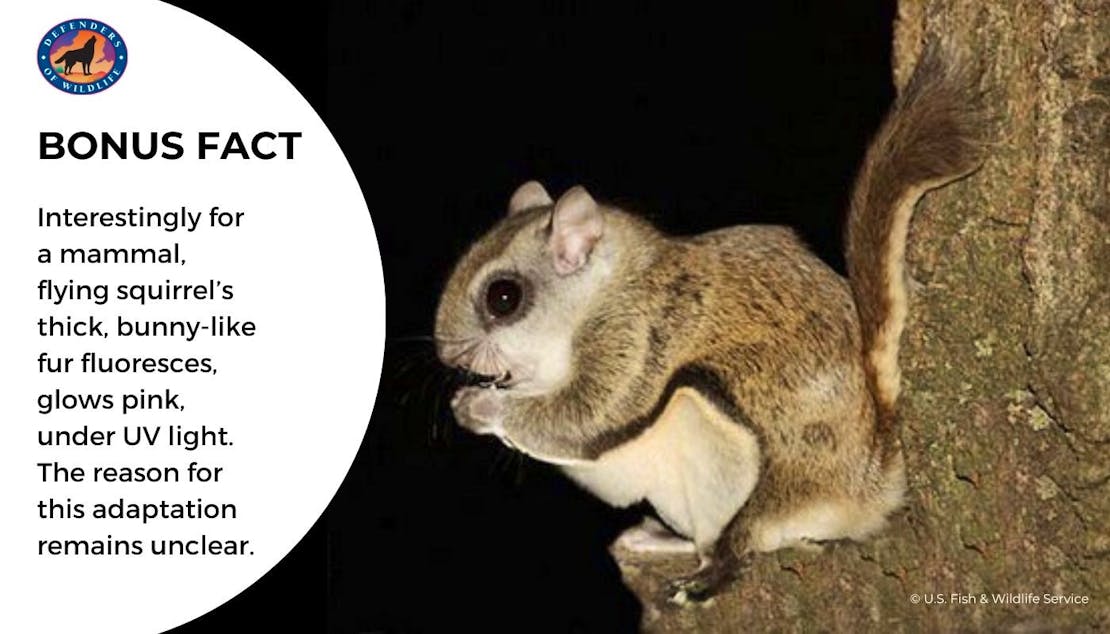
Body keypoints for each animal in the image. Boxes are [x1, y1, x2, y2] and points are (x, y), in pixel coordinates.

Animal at [435, 42, 984, 603]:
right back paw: (661, 543)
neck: (601, 292)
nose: (448, 355)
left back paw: (710, 573)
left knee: (745, 539)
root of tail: (872, 480)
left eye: (503, 297)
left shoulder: (640, 335)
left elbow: (585, 416)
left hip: (730, 447)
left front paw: (480, 406)